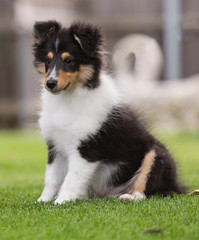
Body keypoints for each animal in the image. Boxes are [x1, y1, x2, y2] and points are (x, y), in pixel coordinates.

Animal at [31, 21, 186, 204]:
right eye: (48, 60)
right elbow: (51, 178)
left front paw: (61, 201)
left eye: (68, 60)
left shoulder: (87, 150)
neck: (68, 99)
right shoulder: (55, 147)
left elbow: (71, 178)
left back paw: (128, 197)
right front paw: (43, 201)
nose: (50, 83)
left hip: (156, 154)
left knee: (145, 191)